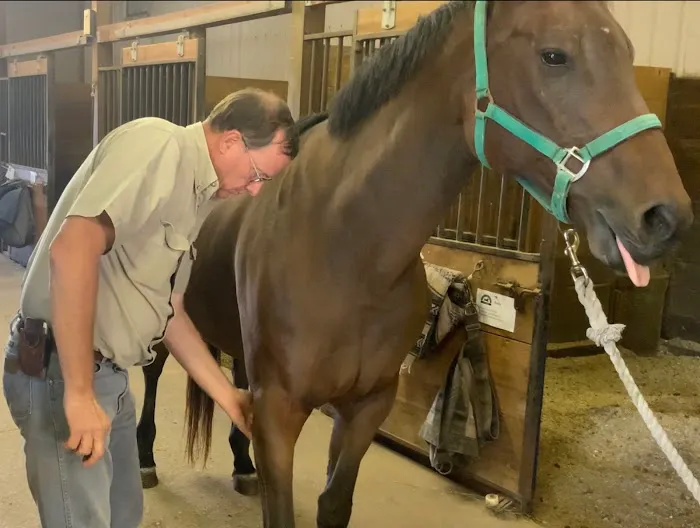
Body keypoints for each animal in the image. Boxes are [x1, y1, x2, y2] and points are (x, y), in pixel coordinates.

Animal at [138, 1, 694, 526]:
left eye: (626, 52)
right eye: (554, 55)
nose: (666, 217)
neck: (344, 249)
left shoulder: (365, 407)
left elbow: (333, 503)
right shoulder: (279, 411)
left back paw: (241, 467)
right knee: (150, 381)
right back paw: (145, 461)